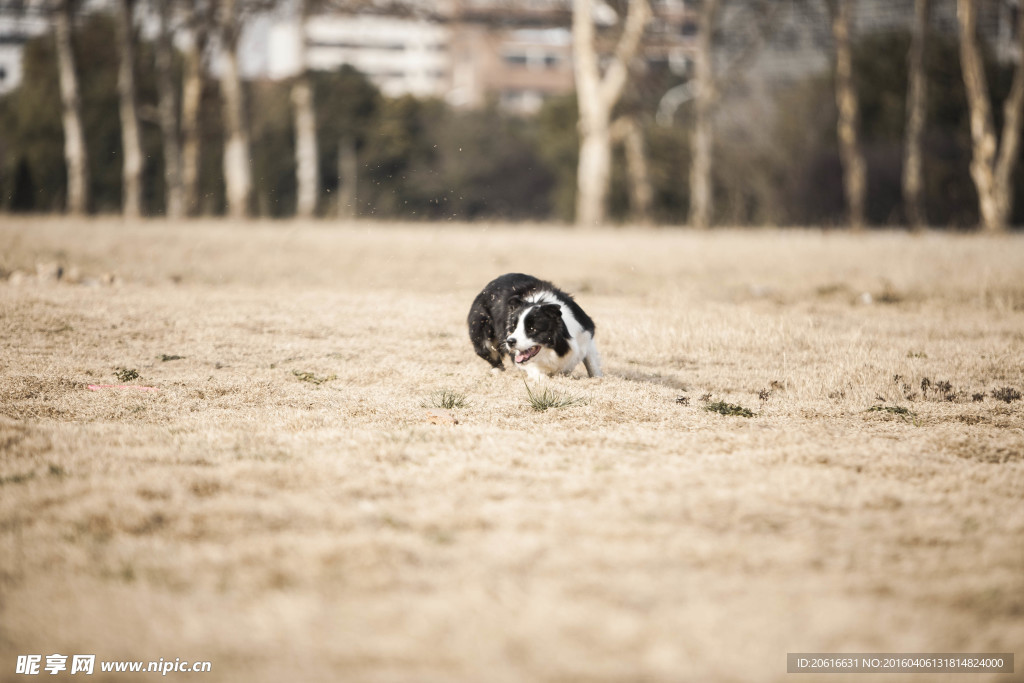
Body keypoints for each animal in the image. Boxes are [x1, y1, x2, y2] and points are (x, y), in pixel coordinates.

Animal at [466, 272, 598, 378]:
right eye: (513, 328)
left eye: (532, 329)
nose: (510, 341)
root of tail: (486, 288)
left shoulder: (586, 336)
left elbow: (593, 365)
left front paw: (597, 378)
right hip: (483, 338)